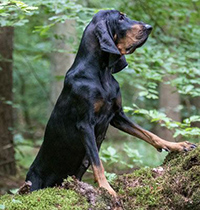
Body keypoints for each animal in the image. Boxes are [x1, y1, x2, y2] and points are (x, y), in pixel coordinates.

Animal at [23, 9, 195, 197]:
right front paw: (107, 189)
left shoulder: (117, 115)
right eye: (120, 18)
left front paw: (177, 145)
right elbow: (97, 163)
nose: (149, 27)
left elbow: (149, 134)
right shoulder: (85, 124)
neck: (102, 73)